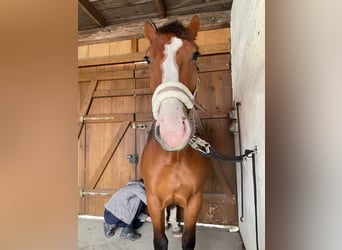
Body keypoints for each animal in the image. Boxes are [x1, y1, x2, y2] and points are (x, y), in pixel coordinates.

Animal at [140, 16, 210, 250]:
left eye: (195, 54)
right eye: (147, 58)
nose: (173, 131)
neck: (173, 156)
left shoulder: (195, 200)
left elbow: (189, 239)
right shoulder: (153, 199)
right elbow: (160, 240)